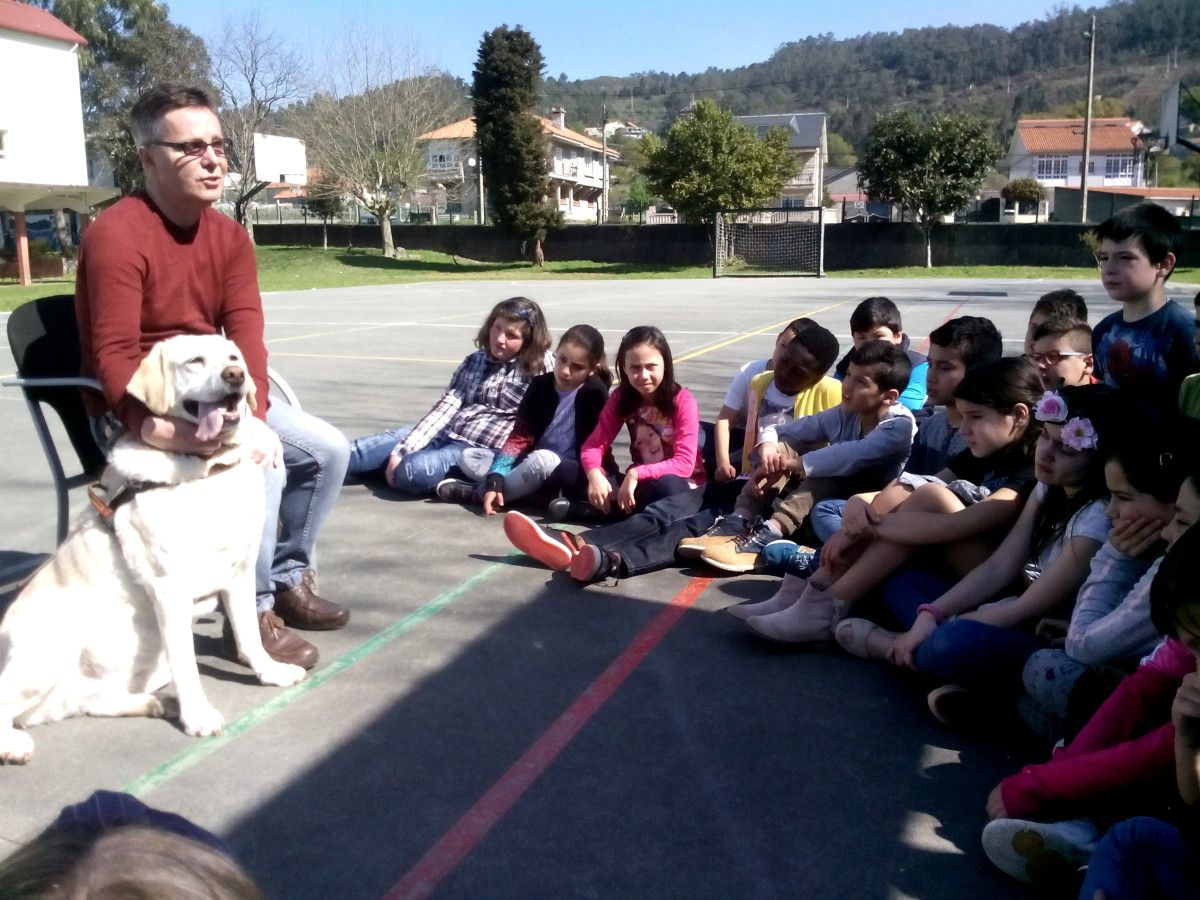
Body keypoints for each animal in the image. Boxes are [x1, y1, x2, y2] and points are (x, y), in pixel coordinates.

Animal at [0, 336, 304, 763]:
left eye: (233, 358)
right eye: (195, 361)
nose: (235, 376)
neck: (207, 469)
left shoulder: (239, 572)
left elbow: (249, 635)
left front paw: (270, 671)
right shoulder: (169, 588)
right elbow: (188, 664)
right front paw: (198, 716)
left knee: (82, 701)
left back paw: (156, 702)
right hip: (49, 650)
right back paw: (14, 744)